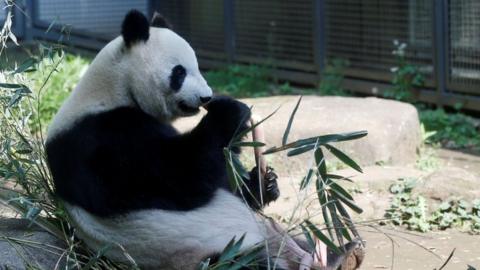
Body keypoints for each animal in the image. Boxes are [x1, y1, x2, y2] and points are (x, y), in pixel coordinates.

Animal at [46, 9, 360, 268]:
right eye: (179, 72)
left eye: (197, 66)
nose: (207, 97)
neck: (113, 89)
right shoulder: (100, 139)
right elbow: (182, 175)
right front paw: (231, 111)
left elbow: (221, 180)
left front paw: (265, 183)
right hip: (212, 253)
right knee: (250, 261)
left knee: (302, 238)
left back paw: (341, 253)